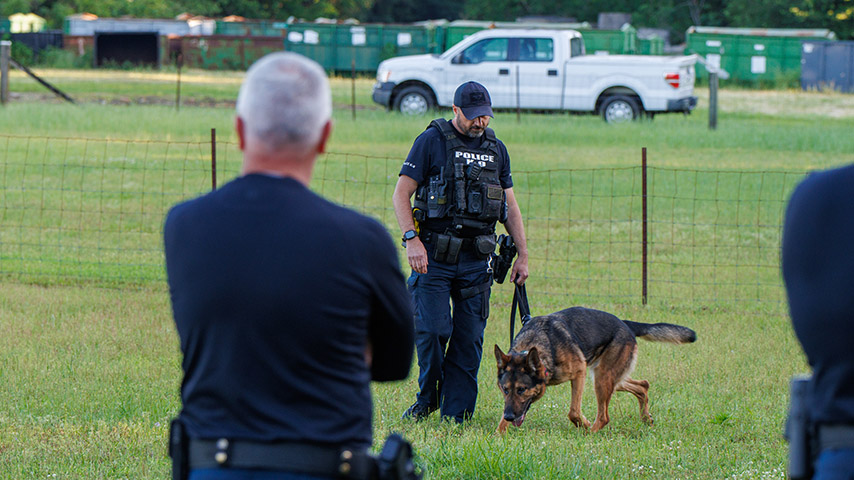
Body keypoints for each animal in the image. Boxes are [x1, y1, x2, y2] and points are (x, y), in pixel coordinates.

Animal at [494, 308, 696, 436]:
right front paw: (498, 436)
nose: (510, 416)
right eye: (505, 389)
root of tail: (625, 323)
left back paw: (591, 434)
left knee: (605, 416)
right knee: (643, 385)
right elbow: (501, 421)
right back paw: (646, 418)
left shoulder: (579, 372)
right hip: (609, 377)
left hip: (601, 378)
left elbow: (573, 412)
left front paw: (585, 425)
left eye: (521, 389)